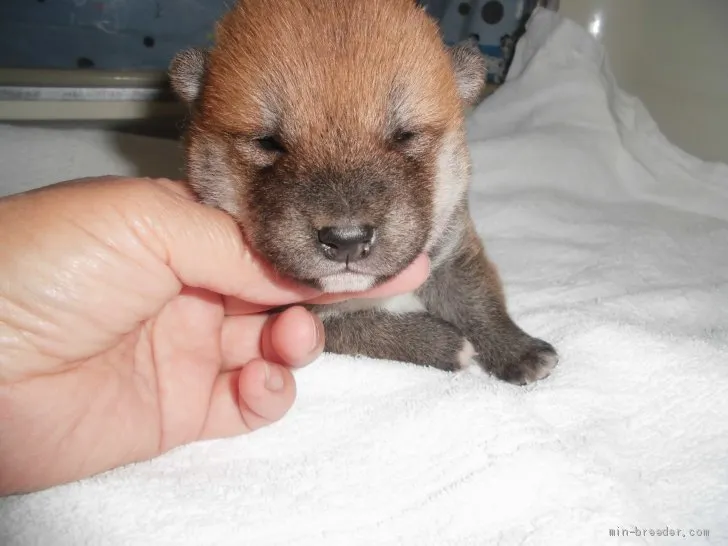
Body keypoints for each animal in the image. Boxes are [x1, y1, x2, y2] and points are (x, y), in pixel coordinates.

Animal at [169, 0, 556, 382]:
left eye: (406, 136)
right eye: (267, 142)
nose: (347, 240)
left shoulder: (454, 247)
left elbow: (478, 299)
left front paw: (519, 350)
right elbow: (365, 326)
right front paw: (444, 343)